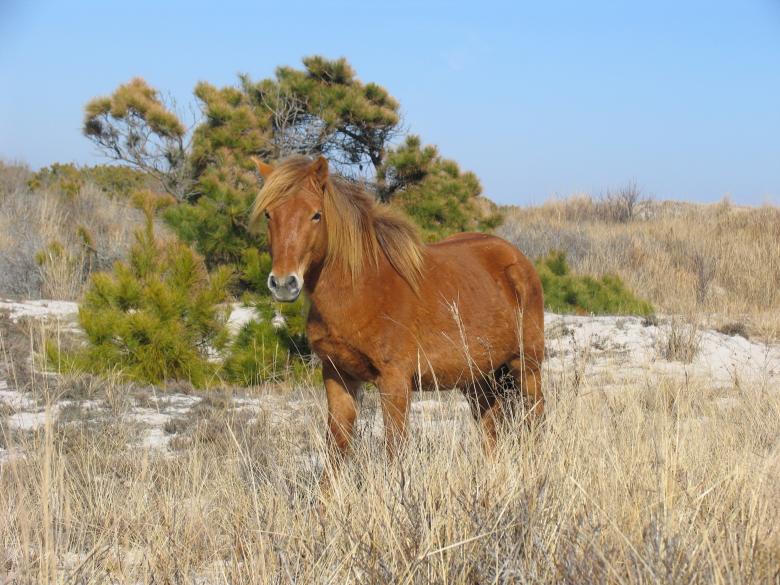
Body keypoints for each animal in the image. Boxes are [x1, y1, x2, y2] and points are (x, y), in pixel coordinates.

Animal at [249, 155, 544, 474]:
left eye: (316, 215)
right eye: (268, 214)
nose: (283, 283)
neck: (363, 287)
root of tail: (517, 259)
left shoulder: (395, 382)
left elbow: (394, 451)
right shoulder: (337, 376)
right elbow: (336, 449)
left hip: (526, 368)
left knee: (536, 419)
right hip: (479, 380)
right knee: (491, 431)